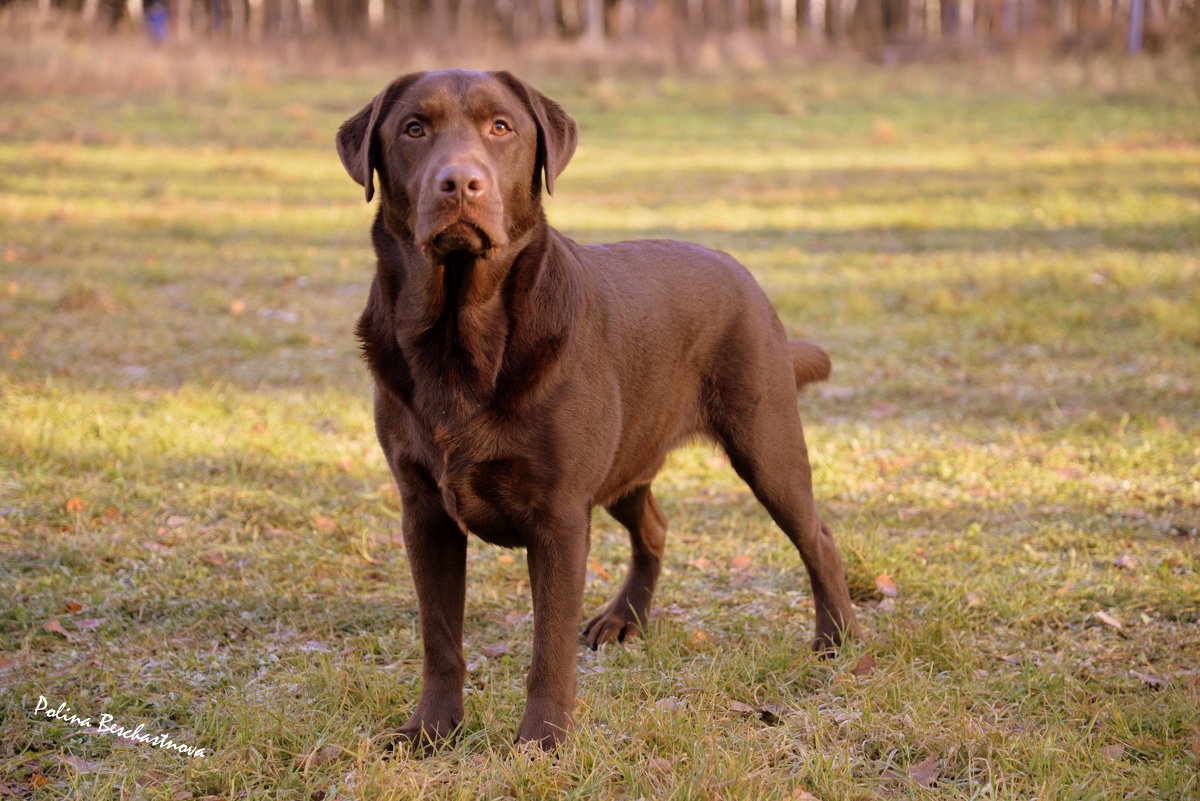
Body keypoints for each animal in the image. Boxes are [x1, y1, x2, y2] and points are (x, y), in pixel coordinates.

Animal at [338, 70, 864, 753]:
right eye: (413, 128)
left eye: (501, 127)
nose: (459, 182)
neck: (460, 339)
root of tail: (742, 272)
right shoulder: (423, 512)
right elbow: (440, 639)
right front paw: (432, 731)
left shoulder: (560, 515)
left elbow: (549, 647)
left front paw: (541, 740)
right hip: (628, 458)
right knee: (655, 527)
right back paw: (624, 619)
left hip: (764, 441)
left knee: (816, 536)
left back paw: (838, 639)